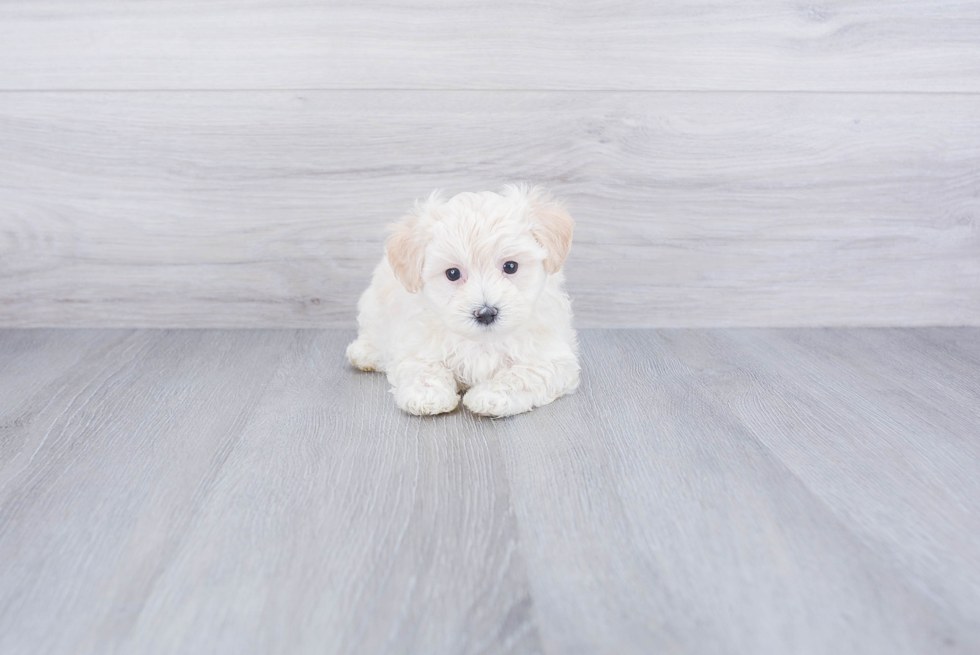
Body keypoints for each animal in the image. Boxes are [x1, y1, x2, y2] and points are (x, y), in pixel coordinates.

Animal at [346, 183, 580, 420]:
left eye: (511, 266)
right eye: (452, 273)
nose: (486, 313)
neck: (482, 342)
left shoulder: (552, 357)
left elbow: (524, 374)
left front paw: (491, 395)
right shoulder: (416, 345)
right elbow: (423, 367)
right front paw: (427, 394)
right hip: (375, 304)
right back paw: (365, 352)